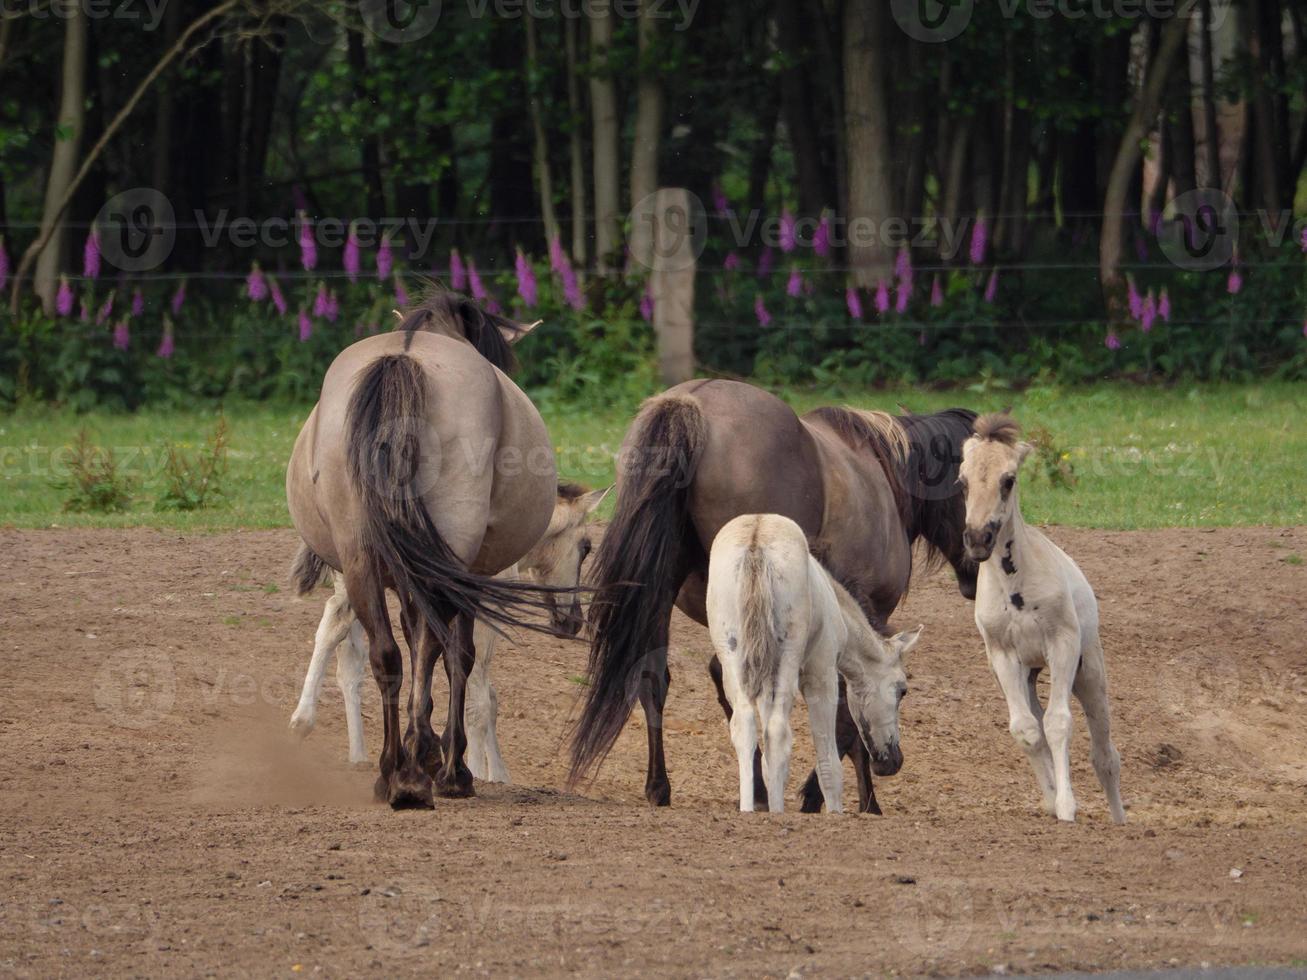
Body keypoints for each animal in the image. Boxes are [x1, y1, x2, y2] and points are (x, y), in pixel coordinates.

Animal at [288, 483, 603, 783]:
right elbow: (480, 699)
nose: (574, 622)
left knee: (341, 641)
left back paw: (343, 745)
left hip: (355, 576)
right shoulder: (482, 612)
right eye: (586, 547)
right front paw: (478, 771)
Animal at [290, 290, 562, 804]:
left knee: (387, 656)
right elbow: (458, 656)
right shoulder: (468, 576)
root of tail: (403, 359)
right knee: (434, 648)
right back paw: (424, 770)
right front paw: (451, 763)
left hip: (360, 561)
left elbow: (414, 644)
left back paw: (395, 772)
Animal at [705, 514, 920, 815]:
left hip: (735, 661)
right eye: (902, 690)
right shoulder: (821, 675)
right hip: (788, 660)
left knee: (745, 727)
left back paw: (749, 809)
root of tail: (755, 542)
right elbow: (828, 764)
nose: (893, 761)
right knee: (778, 732)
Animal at [956, 415, 1129, 831]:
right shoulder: (1003, 656)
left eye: (1008, 479)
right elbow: (1027, 730)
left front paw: (1067, 806)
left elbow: (1058, 724)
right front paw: (1052, 800)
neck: (1016, 585)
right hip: (1029, 675)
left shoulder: (1061, 645)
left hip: (1089, 672)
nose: (978, 539)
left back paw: (1119, 819)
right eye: (963, 481)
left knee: (1105, 755)